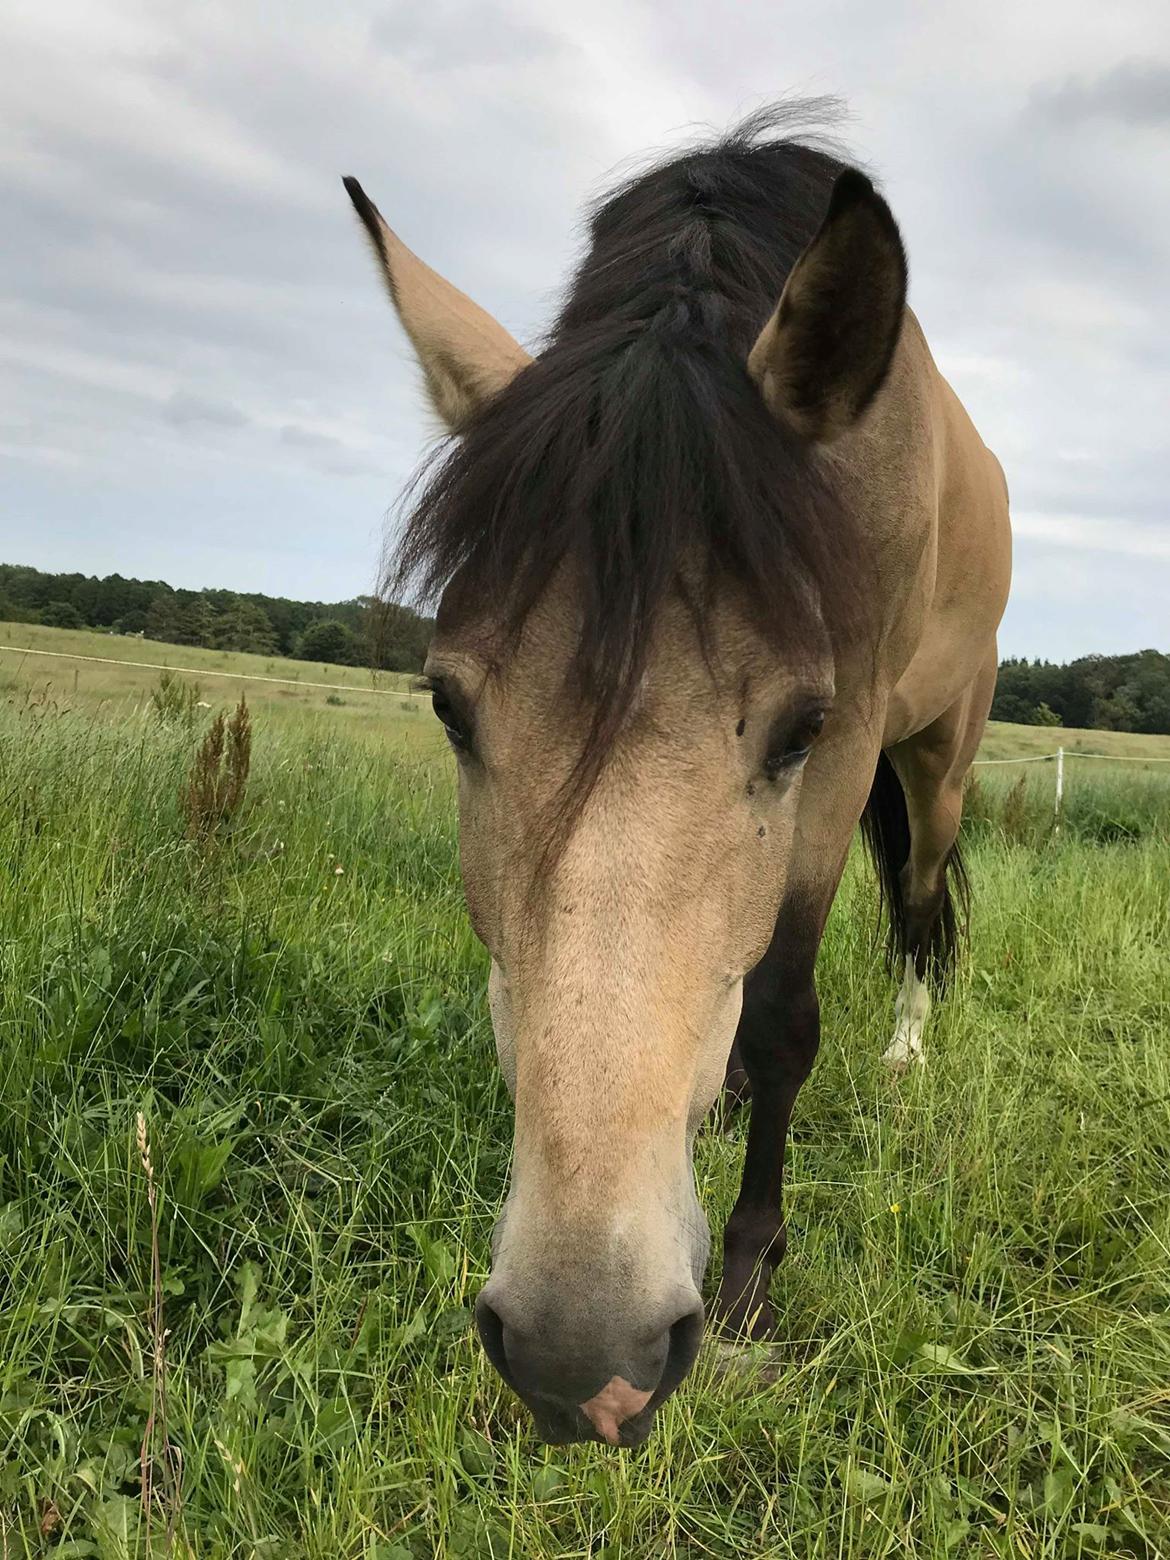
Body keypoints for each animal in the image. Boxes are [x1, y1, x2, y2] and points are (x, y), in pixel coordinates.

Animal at [343, 106, 1010, 1447]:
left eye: (799, 729)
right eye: (448, 705)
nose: (582, 1354)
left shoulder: (848, 749)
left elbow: (790, 1013)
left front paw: (752, 1268)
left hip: (936, 757)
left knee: (919, 902)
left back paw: (906, 1050)